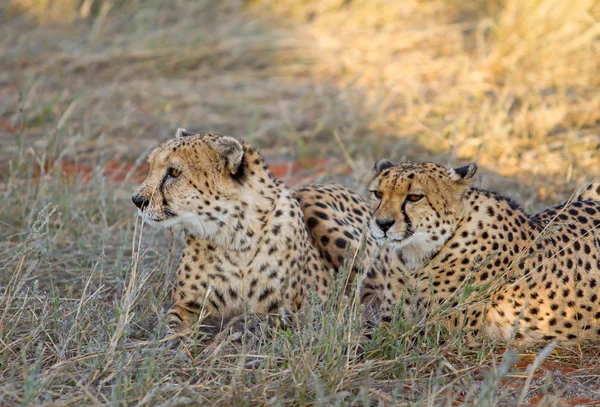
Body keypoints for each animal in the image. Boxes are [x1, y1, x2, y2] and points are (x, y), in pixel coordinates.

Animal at [132, 130, 370, 334]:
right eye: (151, 167)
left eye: (174, 172)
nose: (137, 200)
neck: (235, 234)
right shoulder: (186, 304)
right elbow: (172, 324)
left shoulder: (292, 311)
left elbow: (252, 320)